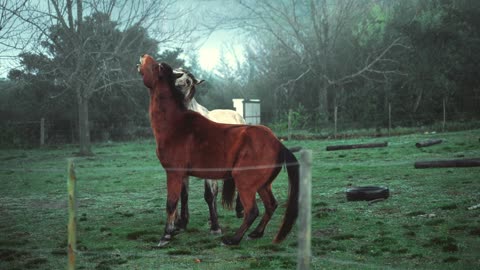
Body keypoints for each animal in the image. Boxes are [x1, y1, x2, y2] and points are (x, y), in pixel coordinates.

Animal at [137, 53, 298, 246]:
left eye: (157, 67)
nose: (144, 56)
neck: (177, 124)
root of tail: (278, 143)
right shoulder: (182, 174)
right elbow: (183, 198)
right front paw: (178, 226)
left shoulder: (175, 173)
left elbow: (172, 202)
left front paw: (166, 235)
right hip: (263, 185)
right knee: (271, 205)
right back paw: (255, 233)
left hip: (245, 182)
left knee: (252, 210)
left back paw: (233, 238)